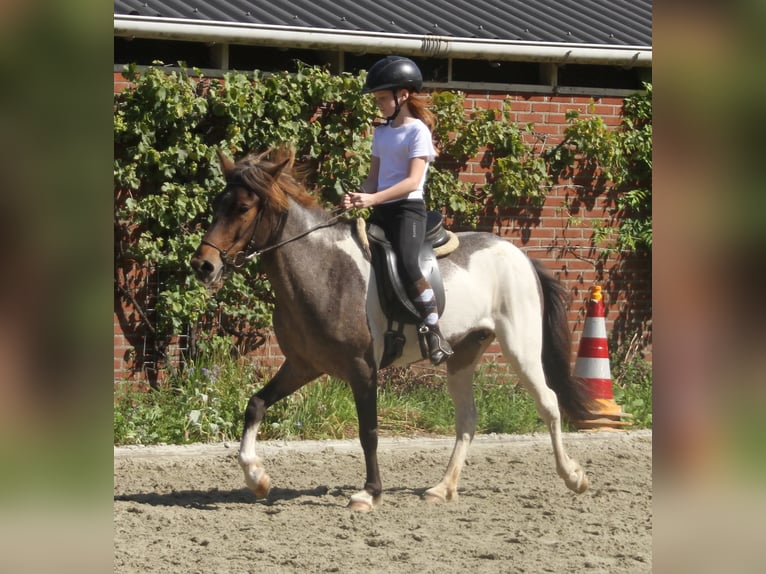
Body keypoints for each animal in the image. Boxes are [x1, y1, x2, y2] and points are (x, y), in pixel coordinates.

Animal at [190, 148, 591, 511]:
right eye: (218, 204)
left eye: (243, 208)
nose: (203, 266)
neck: (324, 269)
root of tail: (518, 254)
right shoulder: (303, 365)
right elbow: (255, 405)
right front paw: (256, 477)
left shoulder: (362, 369)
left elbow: (368, 432)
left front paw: (369, 493)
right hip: (462, 355)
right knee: (467, 419)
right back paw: (442, 489)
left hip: (520, 347)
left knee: (548, 402)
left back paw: (573, 476)